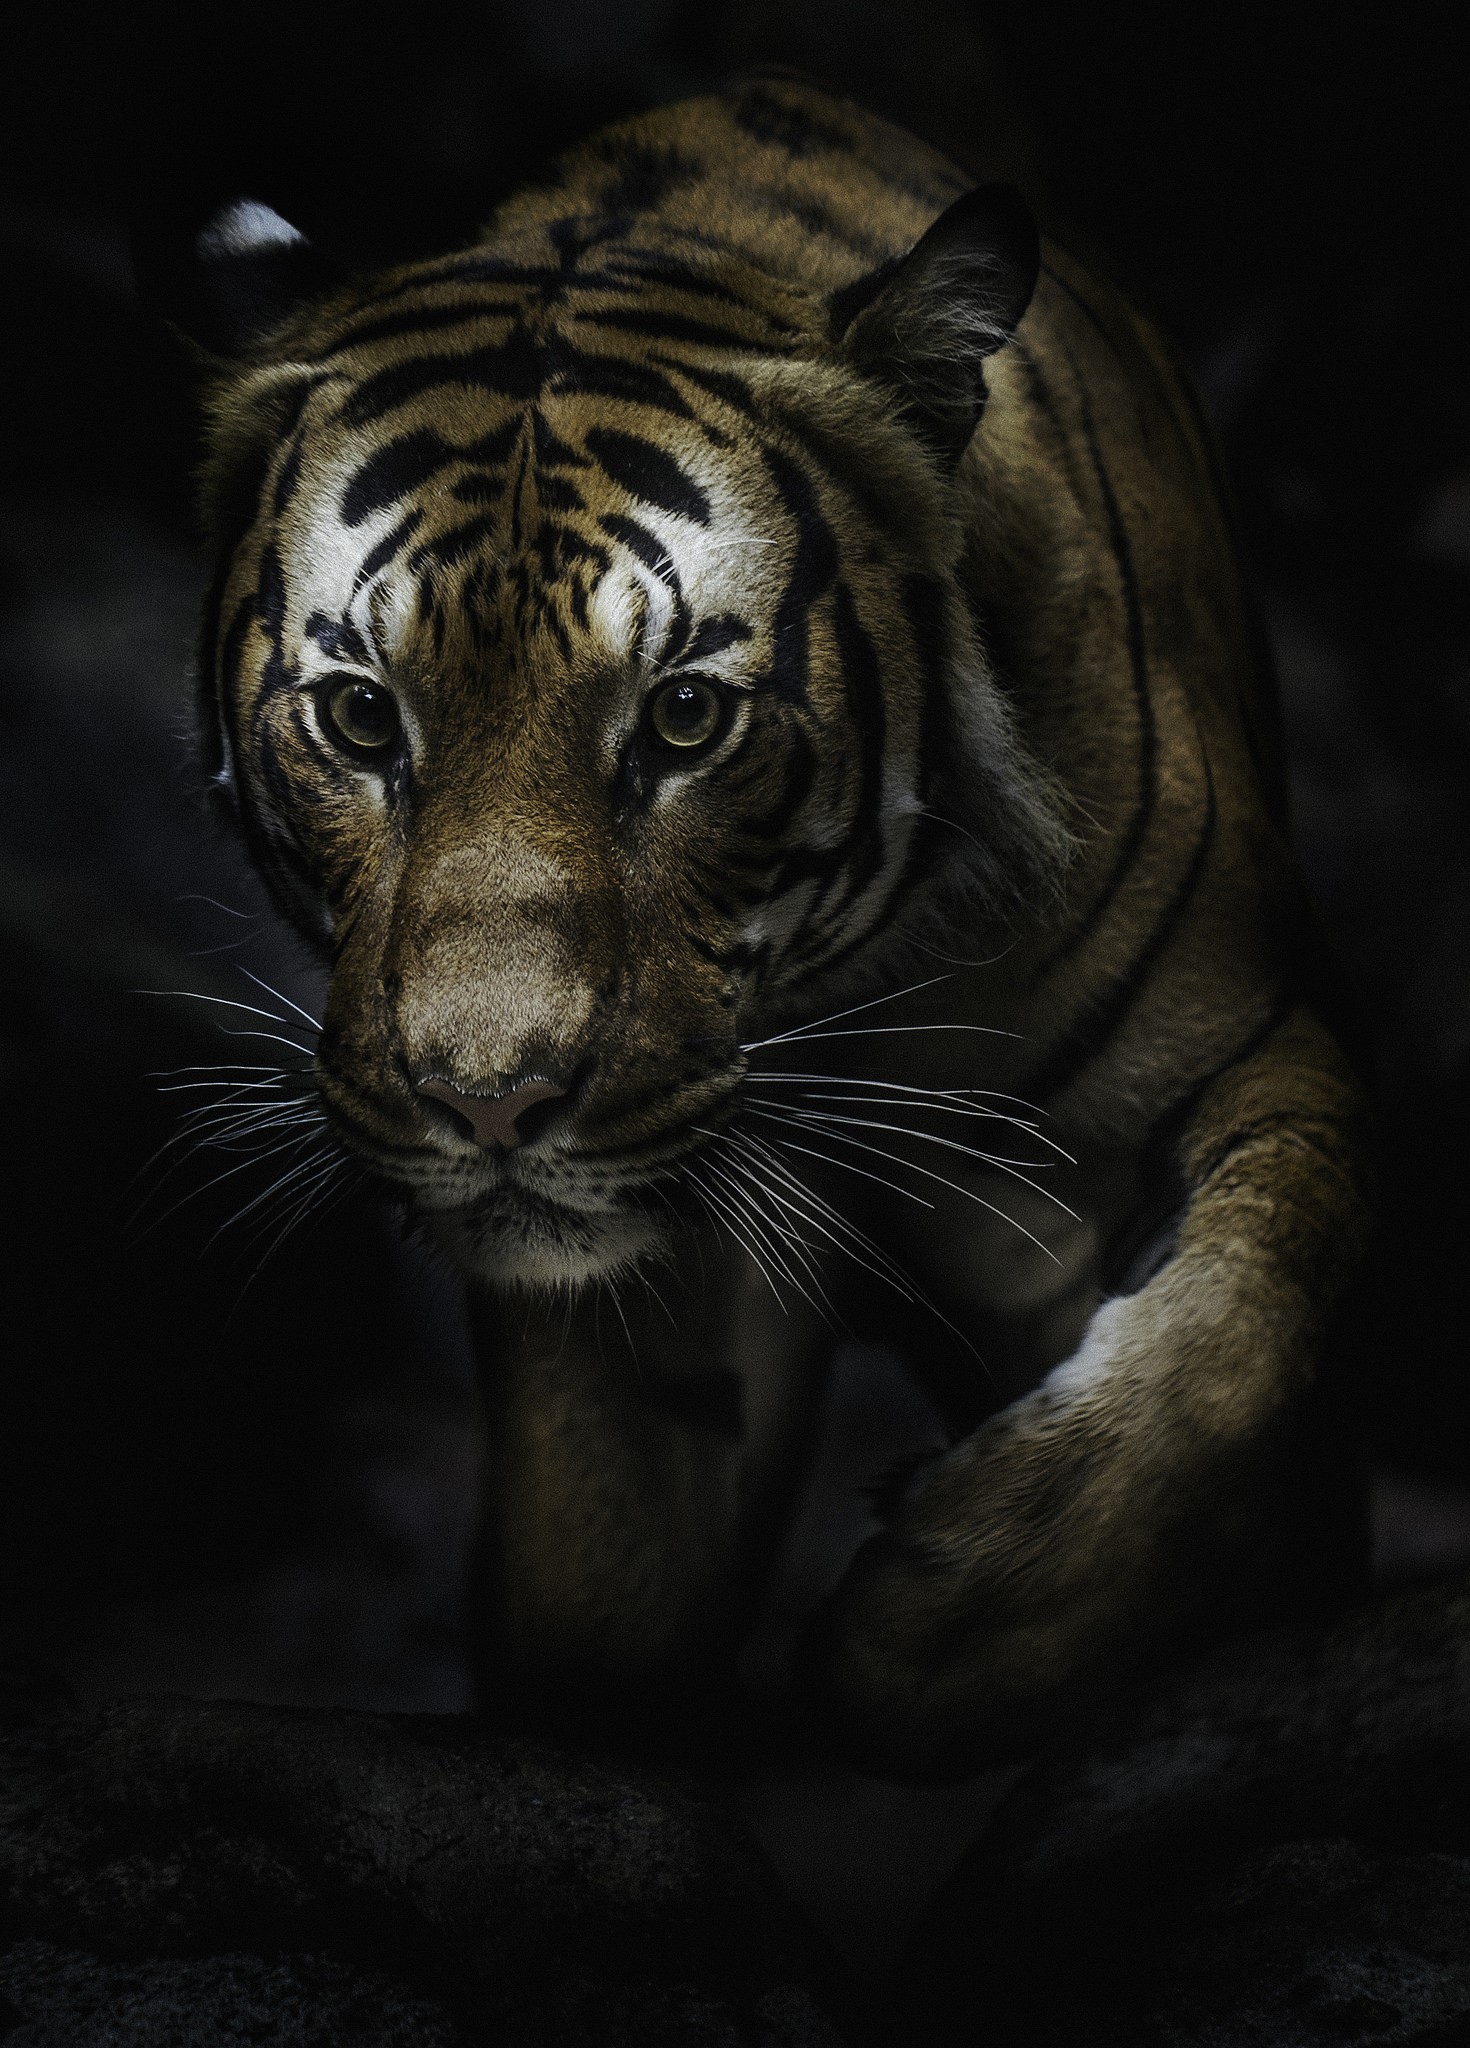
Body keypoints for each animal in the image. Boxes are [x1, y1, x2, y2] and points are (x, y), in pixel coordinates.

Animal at [152, 71, 1369, 1777]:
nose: (488, 1105)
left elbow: (1254, 1303)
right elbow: (604, 1567)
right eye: (359, 716)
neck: (849, 990)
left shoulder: (1252, 1041)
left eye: (680, 719)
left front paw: (949, 1632)